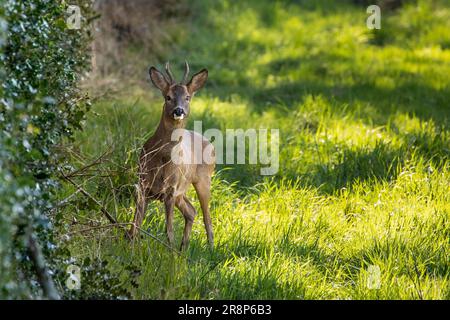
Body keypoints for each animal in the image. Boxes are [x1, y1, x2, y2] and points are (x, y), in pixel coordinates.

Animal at [127, 61, 215, 251]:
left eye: (188, 97)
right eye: (168, 97)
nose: (179, 110)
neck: (162, 159)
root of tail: (210, 144)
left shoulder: (171, 189)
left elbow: (169, 231)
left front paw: (170, 253)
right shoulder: (143, 184)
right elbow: (135, 223)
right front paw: (129, 245)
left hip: (203, 180)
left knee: (207, 217)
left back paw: (210, 249)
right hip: (182, 191)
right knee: (191, 211)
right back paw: (184, 248)